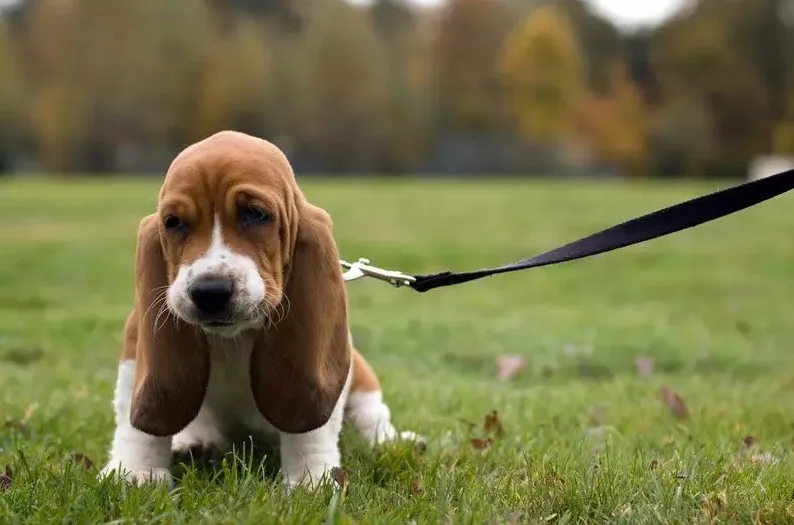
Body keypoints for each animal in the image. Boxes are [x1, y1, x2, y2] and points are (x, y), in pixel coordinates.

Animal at [100, 129, 420, 490]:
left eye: (256, 214)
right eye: (173, 222)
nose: (210, 291)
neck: (233, 338)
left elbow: (311, 431)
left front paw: (310, 480)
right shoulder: (136, 346)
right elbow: (135, 424)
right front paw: (134, 472)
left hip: (362, 379)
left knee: (373, 418)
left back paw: (395, 442)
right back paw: (194, 442)